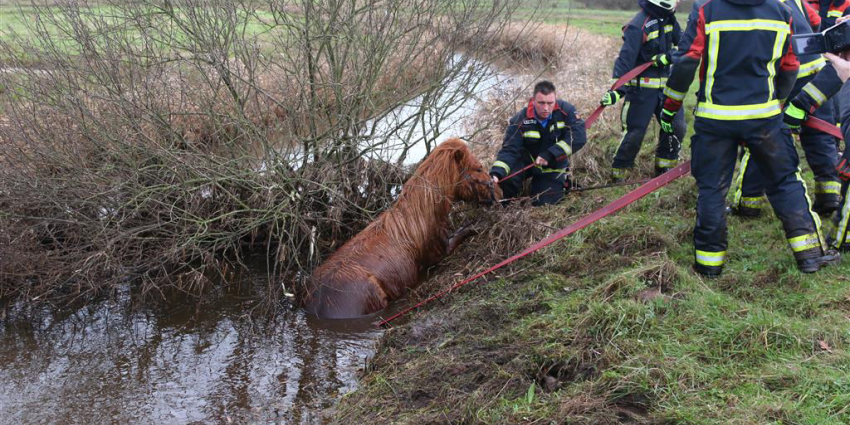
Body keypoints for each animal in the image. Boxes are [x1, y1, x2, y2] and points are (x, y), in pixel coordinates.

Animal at [304, 138, 500, 319]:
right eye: (478, 168)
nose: (499, 191)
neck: (420, 214)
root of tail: (318, 306)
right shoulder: (438, 251)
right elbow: (460, 234)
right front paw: (475, 226)